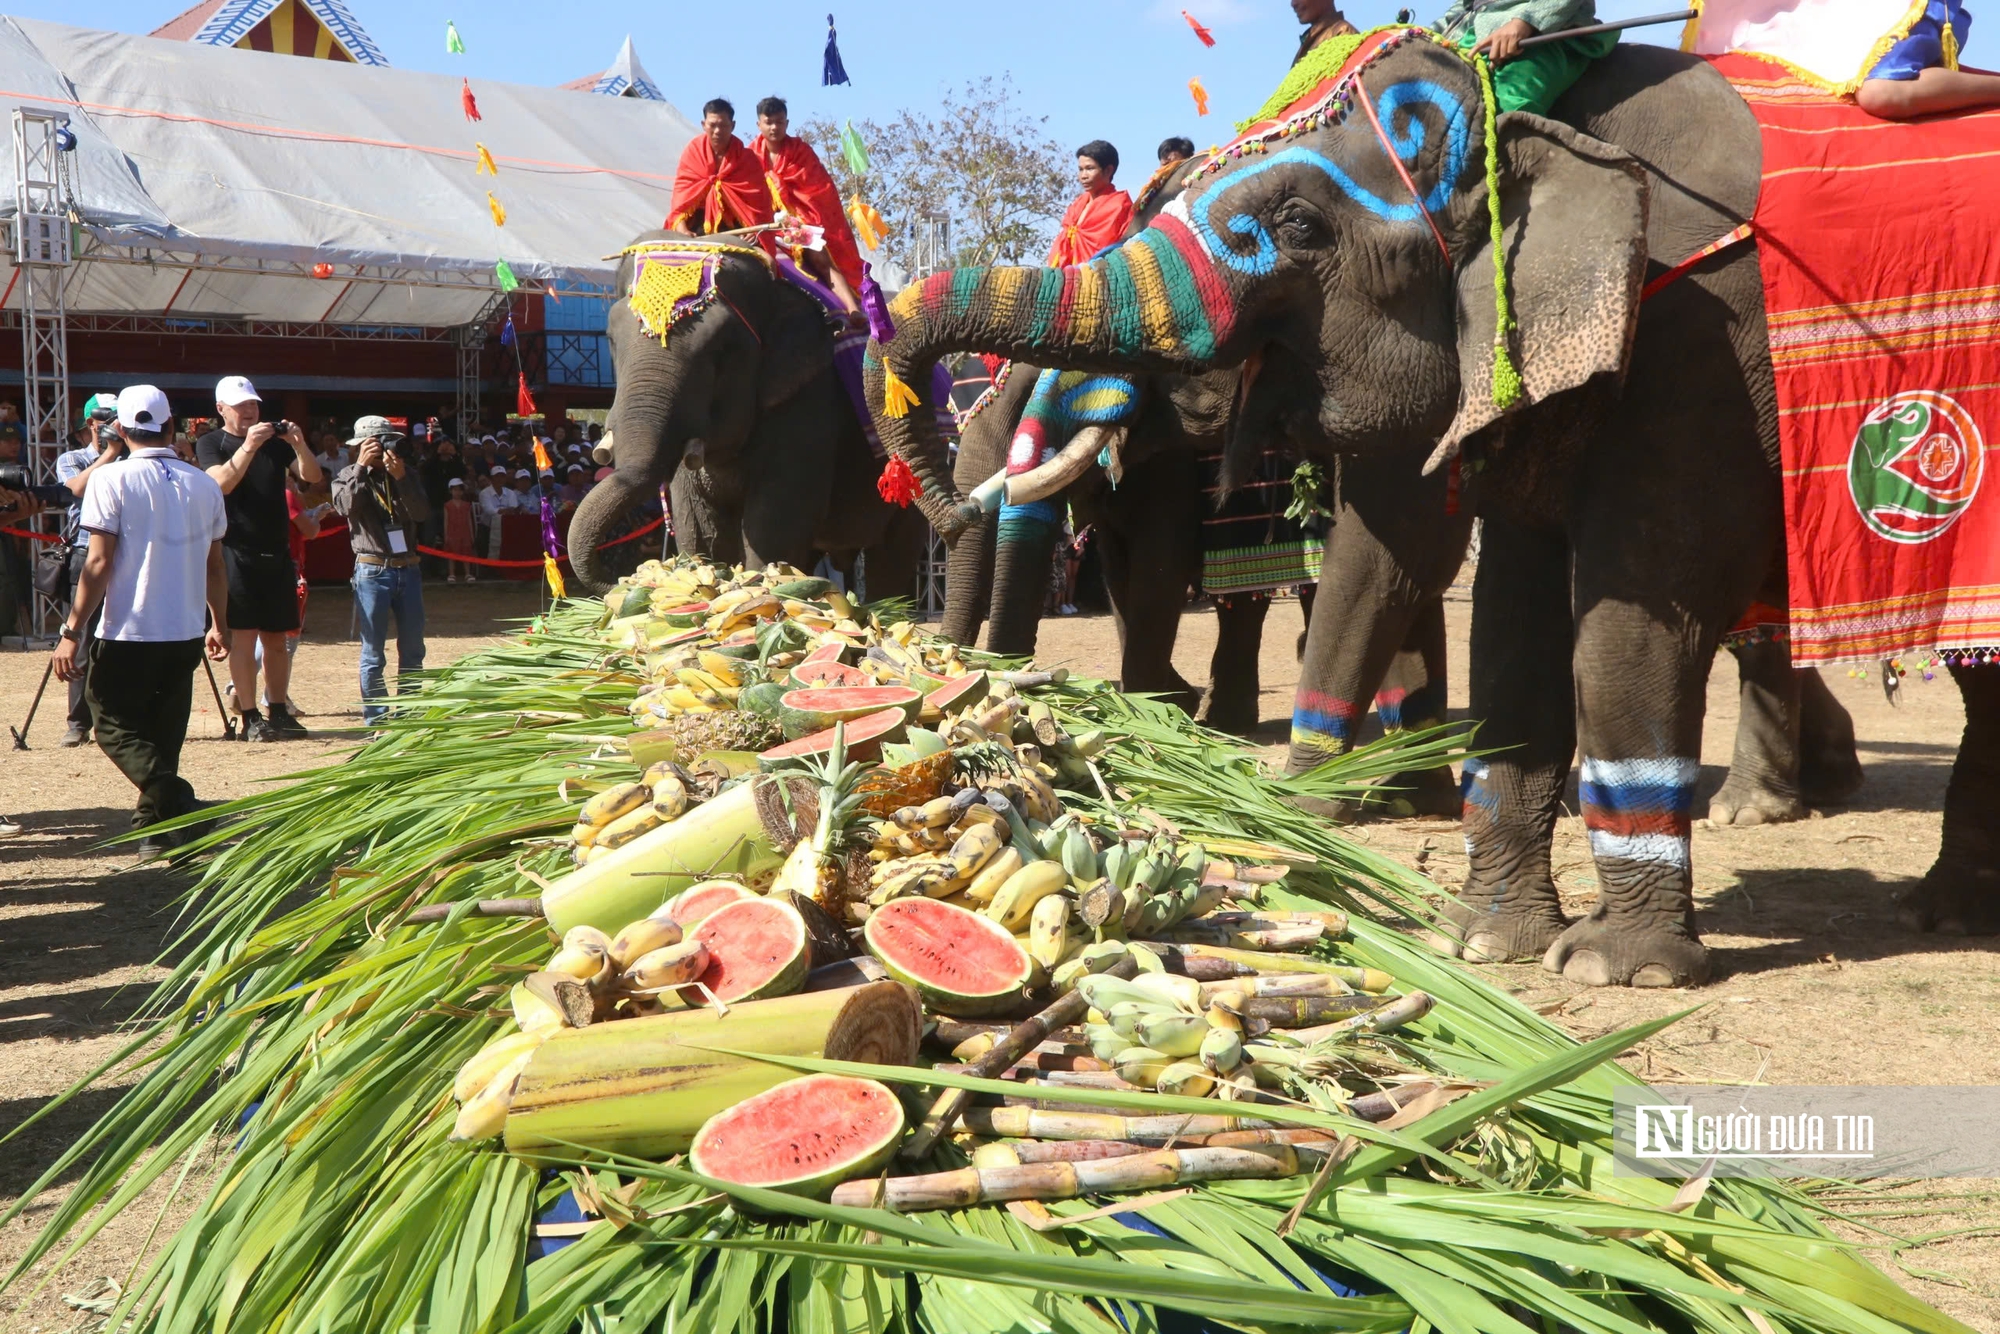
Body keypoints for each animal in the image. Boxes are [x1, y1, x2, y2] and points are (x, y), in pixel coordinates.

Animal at [568, 232, 932, 596]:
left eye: (722, 350)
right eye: (611, 340)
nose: (619, 579)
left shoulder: (809, 404)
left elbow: (774, 525)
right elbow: (701, 527)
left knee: (893, 556)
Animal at [856, 36, 1984, 988]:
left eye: (1298, 227)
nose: (944, 508)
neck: (1543, 119)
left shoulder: (1701, 339)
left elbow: (1621, 609)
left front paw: (1612, 968)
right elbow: (1504, 610)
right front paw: (1479, 938)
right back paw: (1940, 902)